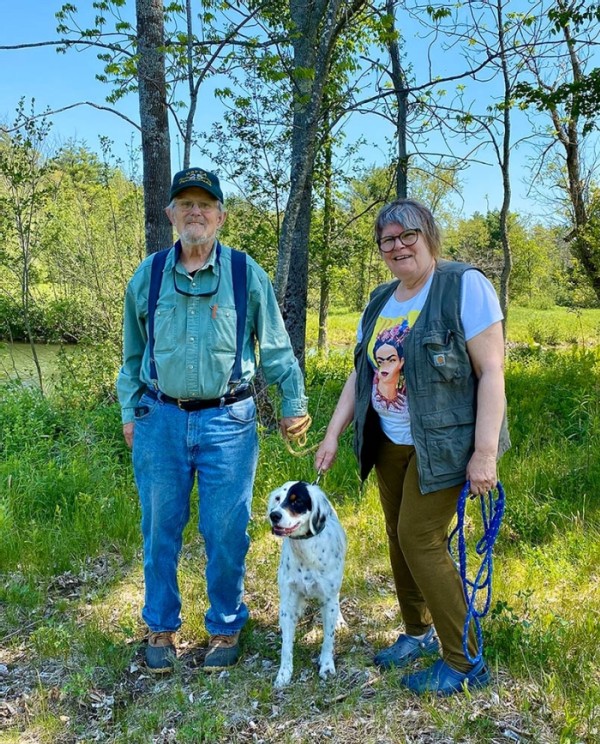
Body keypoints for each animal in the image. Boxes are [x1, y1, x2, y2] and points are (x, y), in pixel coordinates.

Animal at [268, 482, 346, 684]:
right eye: (278, 499)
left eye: (297, 501)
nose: (274, 515)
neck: (306, 552)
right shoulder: (288, 599)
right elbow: (286, 646)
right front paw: (284, 673)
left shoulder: (328, 599)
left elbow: (328, 638)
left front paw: (326, 665)